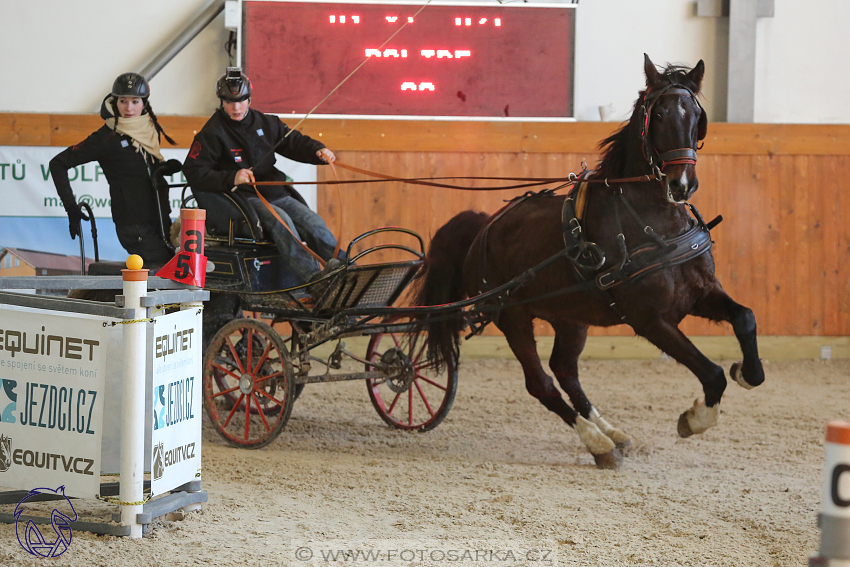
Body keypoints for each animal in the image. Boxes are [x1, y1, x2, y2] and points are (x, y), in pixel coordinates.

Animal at [410, 54, 760, 470]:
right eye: (657, 115)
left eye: (695, 115)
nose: (681, 184)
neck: (653, 223)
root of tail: (484, 225)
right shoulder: (650, 319)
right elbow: (712, 374)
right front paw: (694, 419)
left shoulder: (700, 294)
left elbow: (744, 319)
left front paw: (748, 371)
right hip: (512, 315)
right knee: (541, 383)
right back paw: (598, 443)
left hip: (571, 316)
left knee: (565, 370)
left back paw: (613, 433)